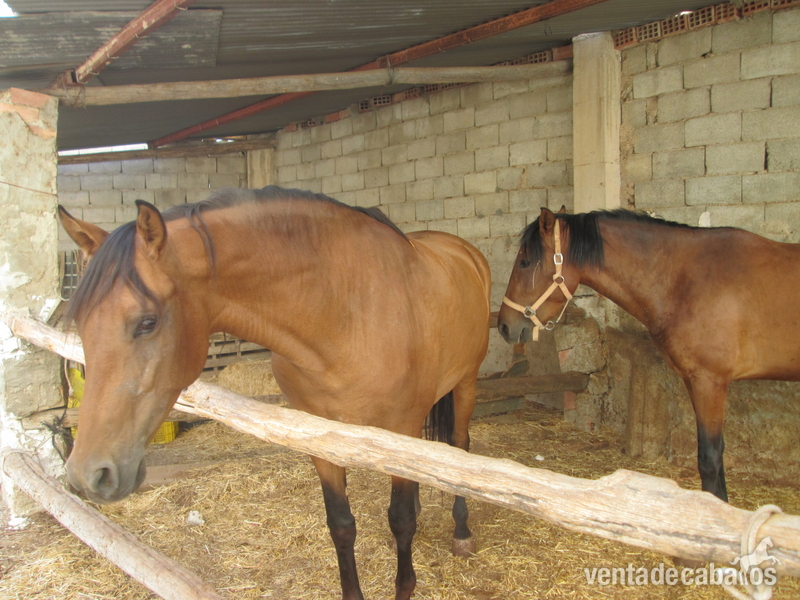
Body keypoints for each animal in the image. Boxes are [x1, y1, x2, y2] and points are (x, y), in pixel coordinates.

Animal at [58, 186, 491, 600]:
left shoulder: (401, 424)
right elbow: (341, 524)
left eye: (146, 322)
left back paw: (462, 531)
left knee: (460, 445)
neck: (347, 313)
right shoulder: (321, 438)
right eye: (80, 321)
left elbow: (401, 520)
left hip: (465, 384)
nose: (88, 474)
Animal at [497, 206, 800, 503]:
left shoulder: (710, 382)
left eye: (525, 263)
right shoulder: (694, 381)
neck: (688, 280)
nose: (503, 325)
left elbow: (710, 459)